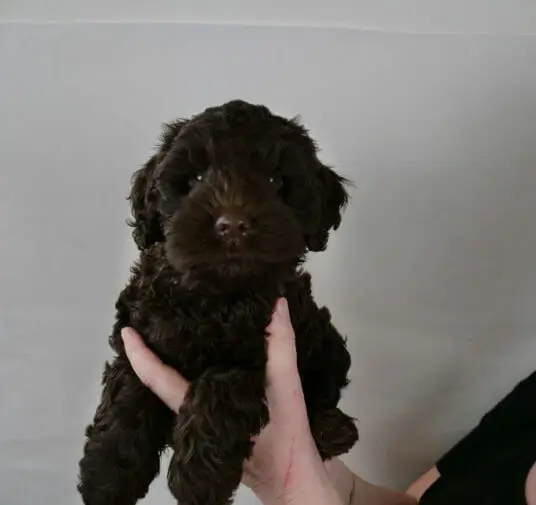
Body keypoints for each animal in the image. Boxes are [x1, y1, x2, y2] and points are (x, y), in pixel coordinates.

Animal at [77, 99, 358, 504]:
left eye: (275, 182)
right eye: (194, 179)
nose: (232, 225)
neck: (213, 297)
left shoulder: (257, 345)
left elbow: (220, 386)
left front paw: (198, 479)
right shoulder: (135, 336)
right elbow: (125, 393)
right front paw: (105, 475)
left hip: (327, 344)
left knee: (323, 391)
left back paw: (331, 430)